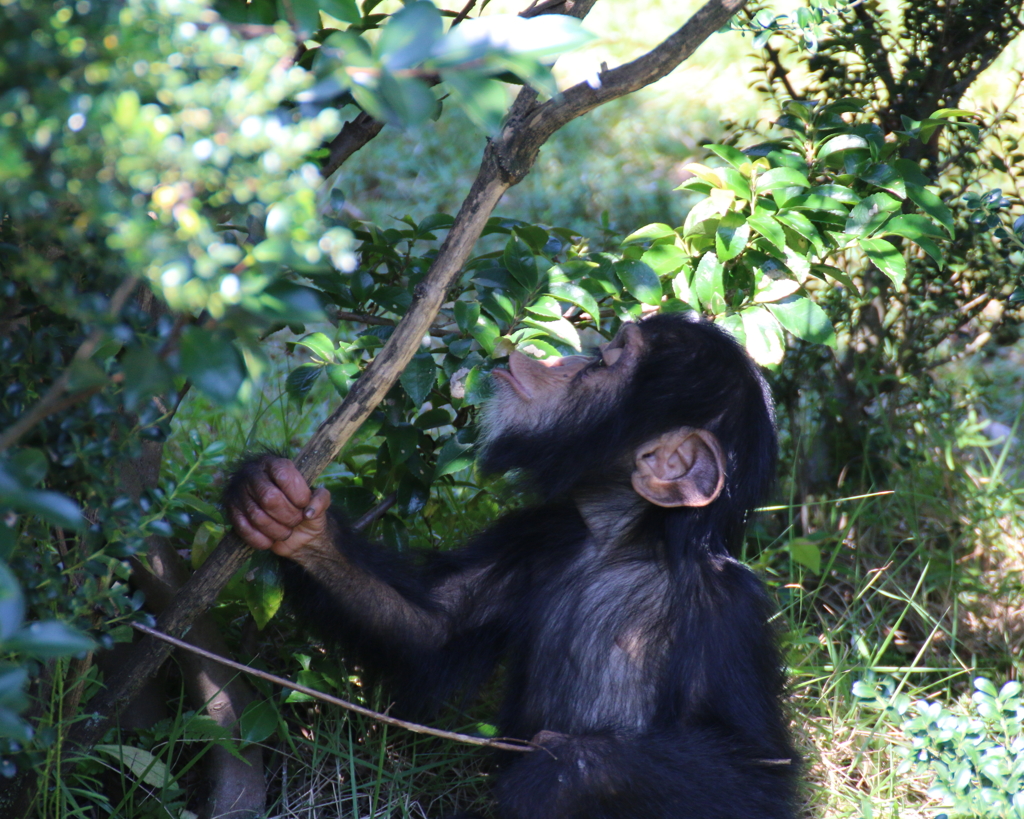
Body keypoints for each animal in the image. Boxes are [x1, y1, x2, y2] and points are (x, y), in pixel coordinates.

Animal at [226, 313, 798, 818]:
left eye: (608, 361)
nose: (565, 359)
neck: (621, 540)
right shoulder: (533, 534)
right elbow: (433, 628)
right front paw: (289, 517)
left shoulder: (728, 609)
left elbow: (757, 776)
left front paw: (563, 769)